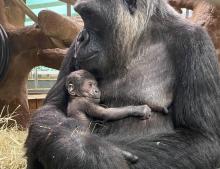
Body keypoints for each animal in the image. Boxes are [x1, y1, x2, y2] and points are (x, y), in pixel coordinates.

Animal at [24, 0, 220, 169]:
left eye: (90, 16)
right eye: (83, 16)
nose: (81, 38)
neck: (140, 37)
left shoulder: (195, 42)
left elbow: (200, 137)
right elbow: (53, 108)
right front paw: (88, 153)